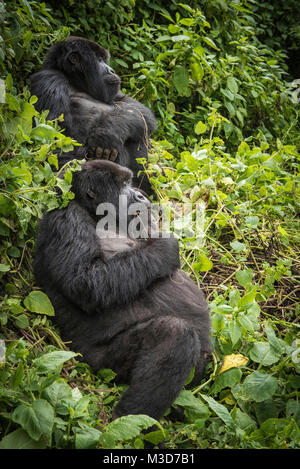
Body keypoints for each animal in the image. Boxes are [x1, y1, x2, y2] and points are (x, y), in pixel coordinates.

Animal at [30, 36, 157, 196]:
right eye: (99, 59)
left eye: (104, 59)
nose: (111, 70)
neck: (73, 81)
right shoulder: (49, 80)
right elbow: (54, 144)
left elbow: (137, 109)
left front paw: (108, 131)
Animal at [34, 159, 213, 418]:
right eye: (122, 185)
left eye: (130, 182)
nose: (140, 195)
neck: (92, 211)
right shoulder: (67, 219)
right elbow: (86, 283)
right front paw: (165, 249)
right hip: (103, 365)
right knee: (175, 334)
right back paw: (134, 420)